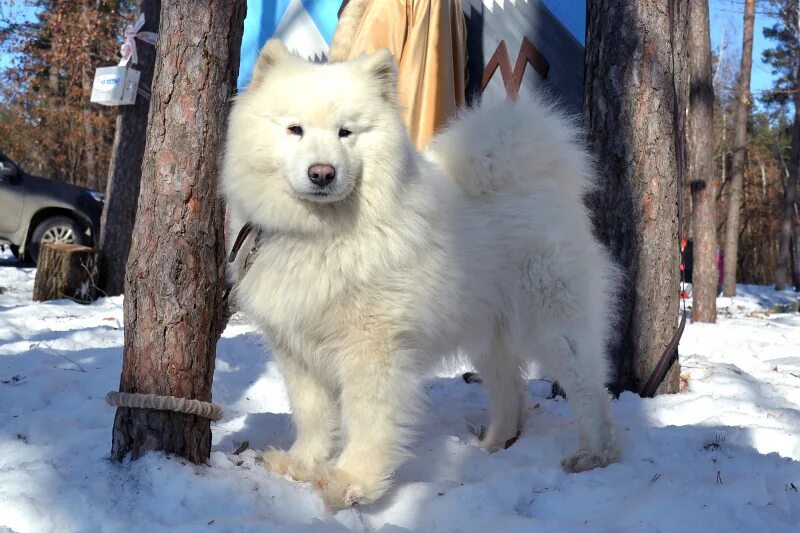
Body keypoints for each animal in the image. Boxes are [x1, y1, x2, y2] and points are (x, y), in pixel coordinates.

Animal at [222, 38, 620, 508]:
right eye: (295, 130)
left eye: (345, 132)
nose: (322, 173)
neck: (320, 234)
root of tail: (543, 175)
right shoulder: (295, 348)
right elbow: (312, 414)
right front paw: (301, 464)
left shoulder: (372, 348)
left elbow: (367, 418)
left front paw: (352, 481)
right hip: (489, 333)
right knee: (511, 393)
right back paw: (491, 446)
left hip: (552, 322)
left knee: (589, 388)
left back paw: (595, 452)